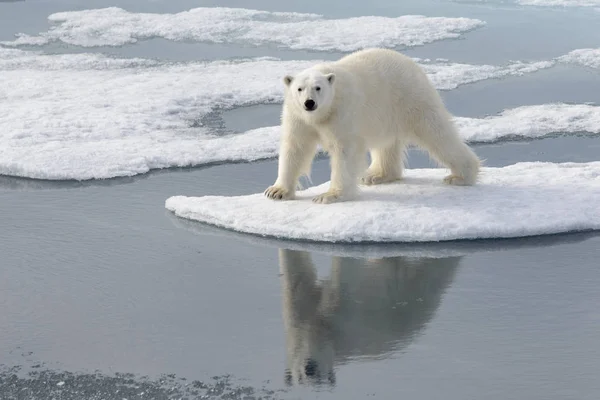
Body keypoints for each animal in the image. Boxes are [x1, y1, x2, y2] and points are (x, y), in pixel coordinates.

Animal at [264, 47, 480, 203]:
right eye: (299, 88)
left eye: (318, 88)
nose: (309, 103)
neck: (320, 115)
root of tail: (412, 64)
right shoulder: (297, 116)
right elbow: (295, 148)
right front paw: (276, 191)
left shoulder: (342, 112)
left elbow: (345, 152)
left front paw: (329, 195)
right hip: (386, 114)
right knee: (387, 144)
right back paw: (377, 175)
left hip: (410, 98)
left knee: (436, 133)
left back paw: (461, 176)